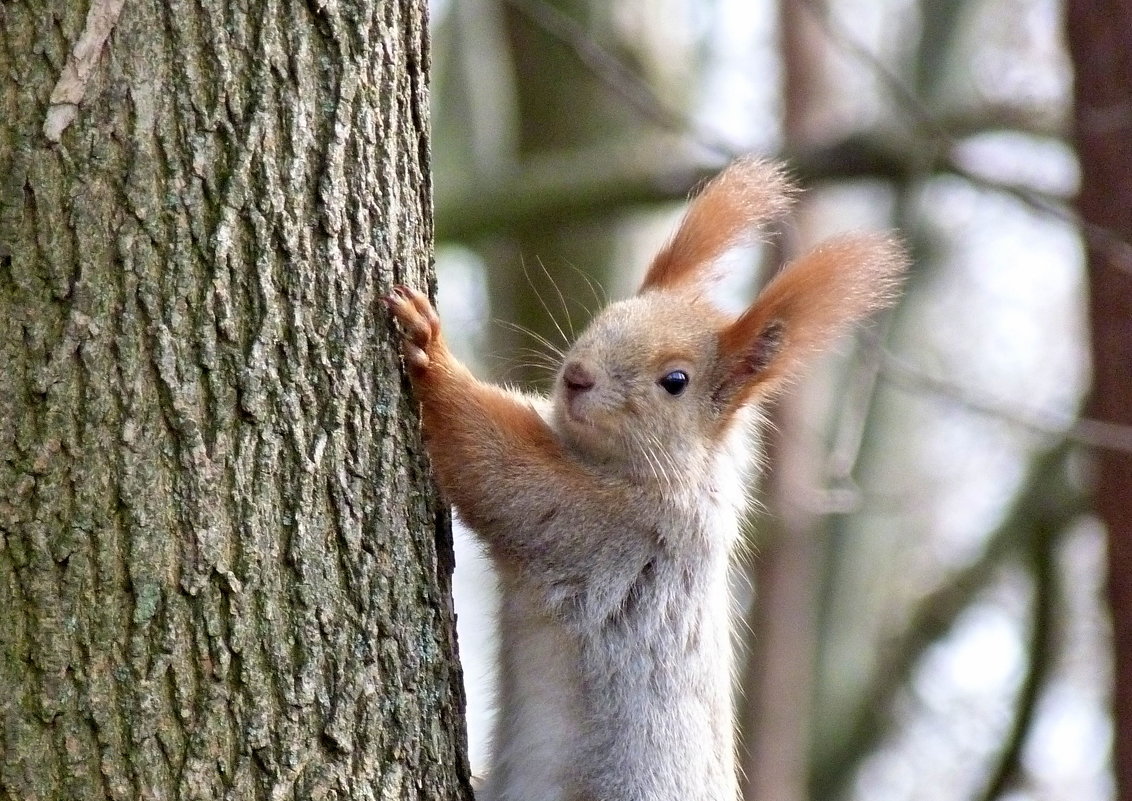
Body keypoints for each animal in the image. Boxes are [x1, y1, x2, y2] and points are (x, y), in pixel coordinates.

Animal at [384, 158, 905, 800]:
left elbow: (496, 468)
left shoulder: (609, 526)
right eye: (606, 316)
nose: (577, 377)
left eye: (675, 381)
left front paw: (431, 349)